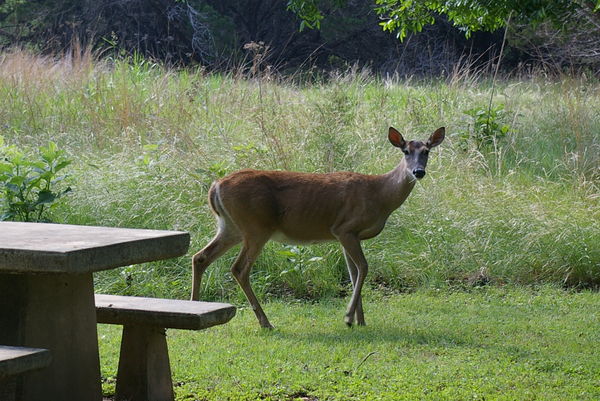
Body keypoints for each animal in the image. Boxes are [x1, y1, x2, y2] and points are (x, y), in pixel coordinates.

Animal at [192, 126, 446, 328]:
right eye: (405, 151)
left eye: (427, 151)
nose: (418, 172)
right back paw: (265, 322)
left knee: (200, 257)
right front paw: (349, 317)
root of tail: (216, 185)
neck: (379, 195)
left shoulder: (348, 236)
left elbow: (354, 273)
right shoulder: (345, 228)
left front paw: (359, 320)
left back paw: (193, 304)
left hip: (230, 227)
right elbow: (363, 268)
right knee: (238, 268)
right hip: (256, 227)